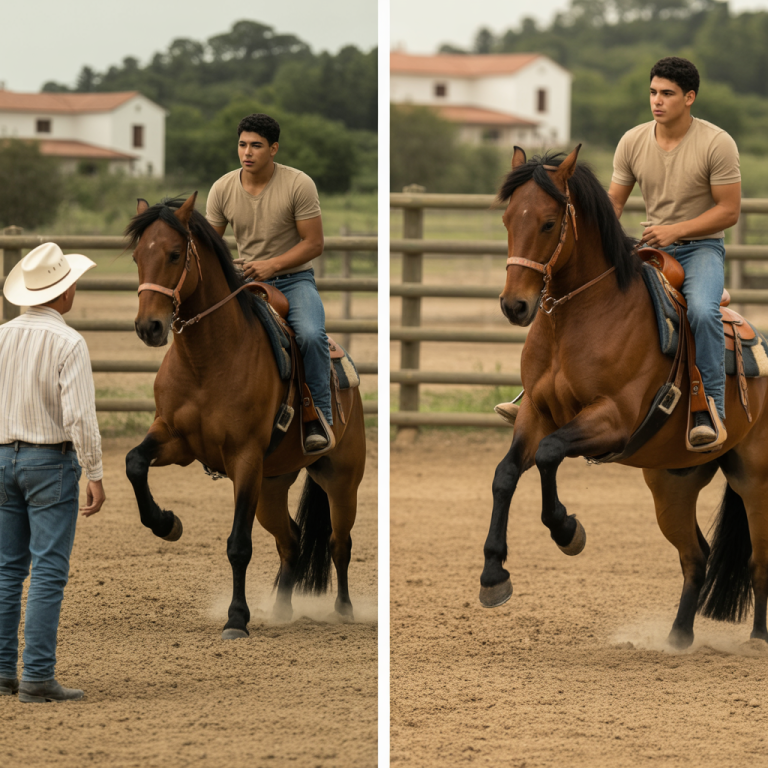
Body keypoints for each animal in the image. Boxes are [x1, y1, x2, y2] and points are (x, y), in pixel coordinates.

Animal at [124, 193, 366, 639]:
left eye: (173, 253)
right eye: (136, 256)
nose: (149, 326)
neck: (209, 359)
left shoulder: (245, 459)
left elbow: (239, 545)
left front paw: (236, 618)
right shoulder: (175, 440)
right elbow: (135, 463)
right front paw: (166, 522)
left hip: (340, 480)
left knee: (340, 545)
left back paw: (343, 610)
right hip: (271, 487)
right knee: (291, 540)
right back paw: (283, 609)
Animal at [480, 145, 768, 648]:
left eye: (549, 223)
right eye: (508, 218)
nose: (515, 305)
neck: (580, 318)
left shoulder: (612, 419)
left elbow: (551, 454)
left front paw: (567, 530)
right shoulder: (536, 412)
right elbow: (506, 473)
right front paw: (494, 573)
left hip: (755, 480)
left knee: (760, 562)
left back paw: (758, 639)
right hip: (671, 484)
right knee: (696, 556)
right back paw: (678, 638)